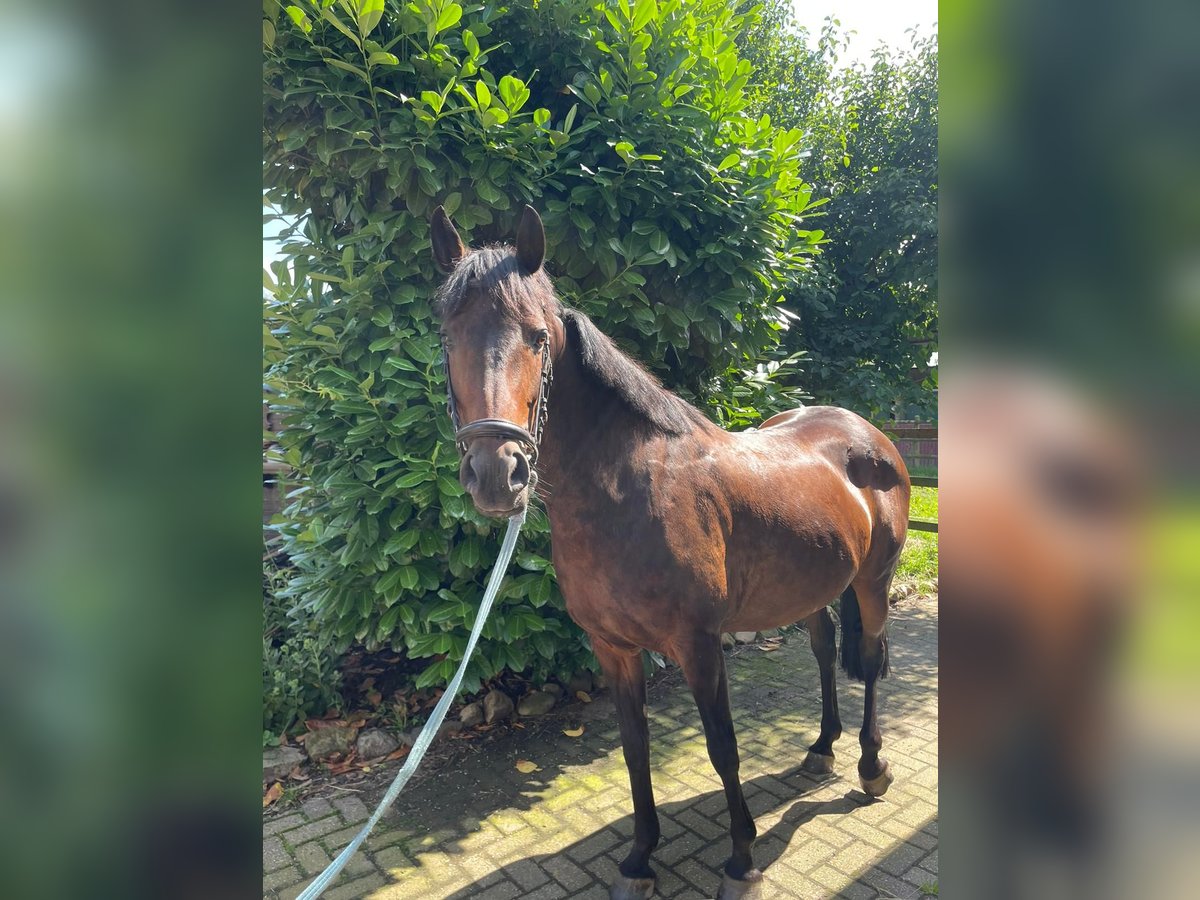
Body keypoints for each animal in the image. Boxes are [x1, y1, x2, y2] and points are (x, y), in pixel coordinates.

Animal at [432, 206, 907, 900]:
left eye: (538, 339)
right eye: (446, 338)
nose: (498, 474)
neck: (631, 490)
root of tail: (867, 432)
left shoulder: (698, 644)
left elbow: (722, 747)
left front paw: (741, 858)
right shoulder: (613, 648)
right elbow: (635, 747)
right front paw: (640, 857)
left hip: (873, 581)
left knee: (868, 661)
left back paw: (871, 766)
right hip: (812, 588)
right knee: (824, 651)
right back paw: (821, 748)